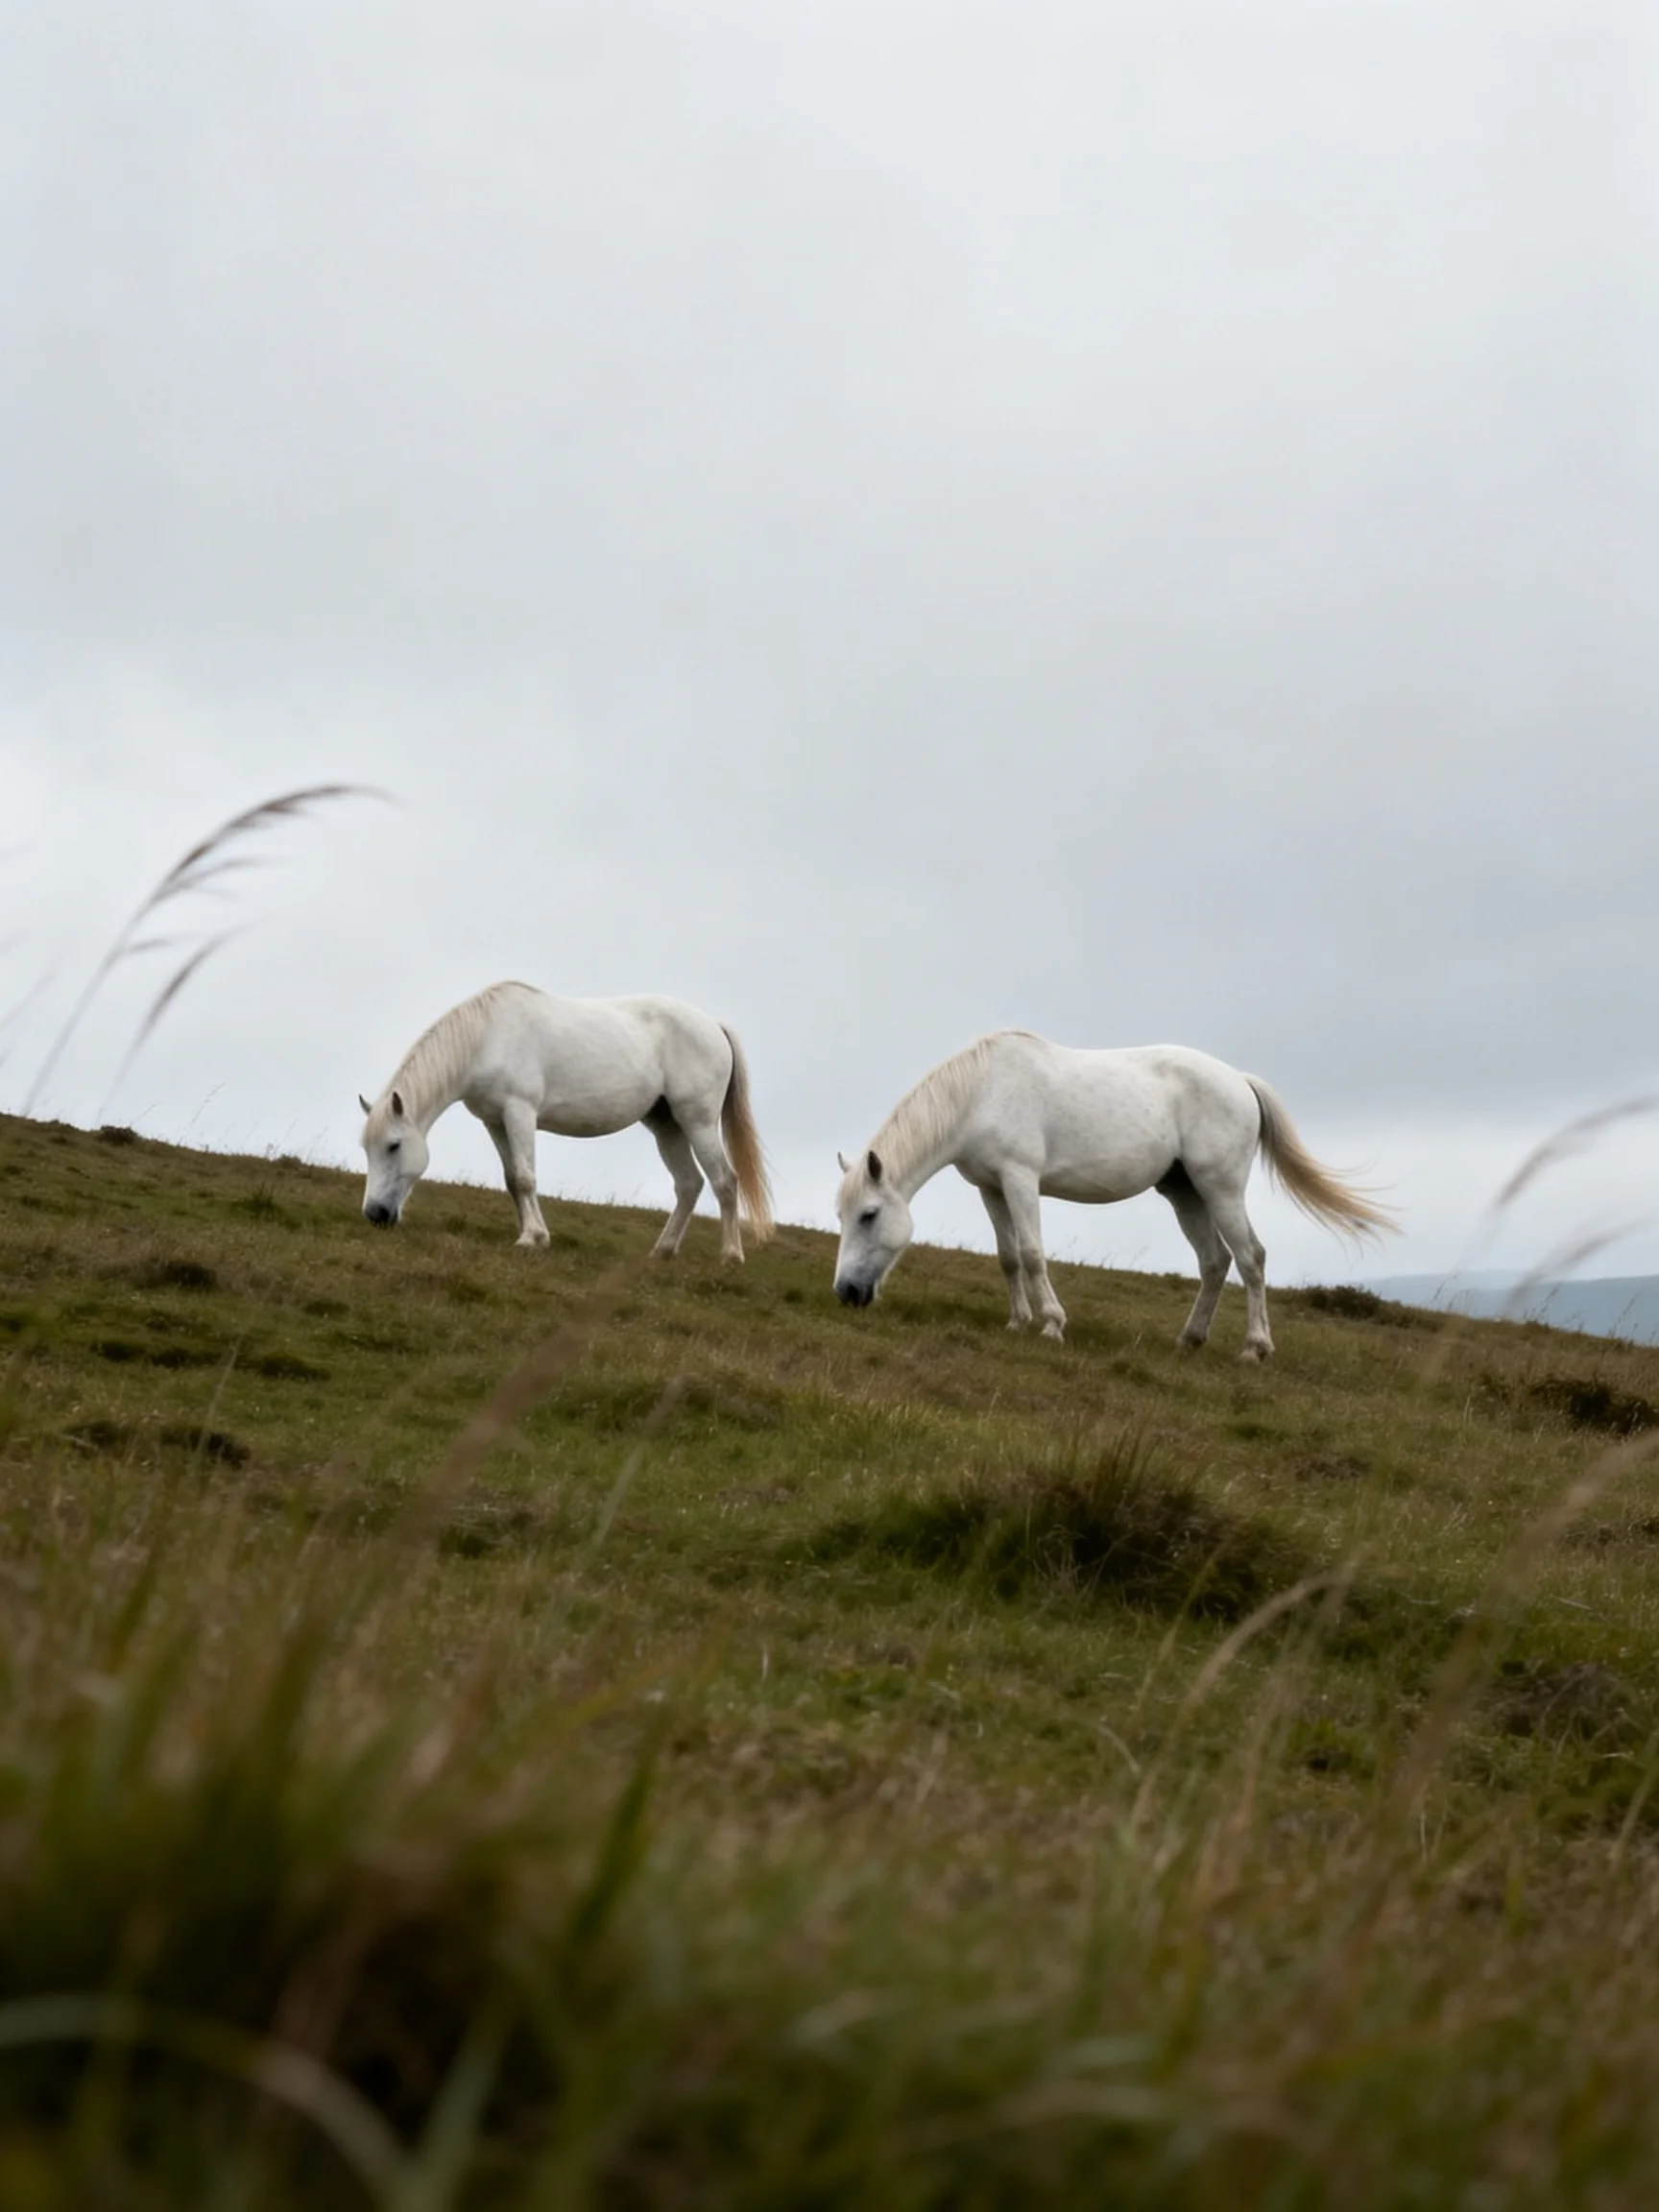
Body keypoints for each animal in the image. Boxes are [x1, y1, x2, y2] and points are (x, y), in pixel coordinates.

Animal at [359, 983, 773, 1260]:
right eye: (367, 1149)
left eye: (393, 1145)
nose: (375, 1214)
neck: (489, 1038)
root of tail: (713, 1026)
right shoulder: (495, 1122)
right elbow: (512, 1180)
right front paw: (535, 1234)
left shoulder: (519, 1112)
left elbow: (525, 1178)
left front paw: (530, 1238)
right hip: (666, 1126)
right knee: (689, 1185)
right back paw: (663, 1251)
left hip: (697, 1122)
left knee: (725, 1182)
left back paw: (730, 1255)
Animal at [833, 1031, 1393, 1360]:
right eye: (842, 1217)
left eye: (868, 1215)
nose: (846, 1293)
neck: (981, 1093)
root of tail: (1239, 1080)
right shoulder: (990, 1187)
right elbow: (1008, 1258)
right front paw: (1017, 1322)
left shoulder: (1020, 1178)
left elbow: (1033, 1254)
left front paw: (1052, 1325)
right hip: (1184, 1193)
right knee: (1215, 1262)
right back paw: (1190, 1340)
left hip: (1221, 1187)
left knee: (1251, 1258)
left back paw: (1255, 1348)